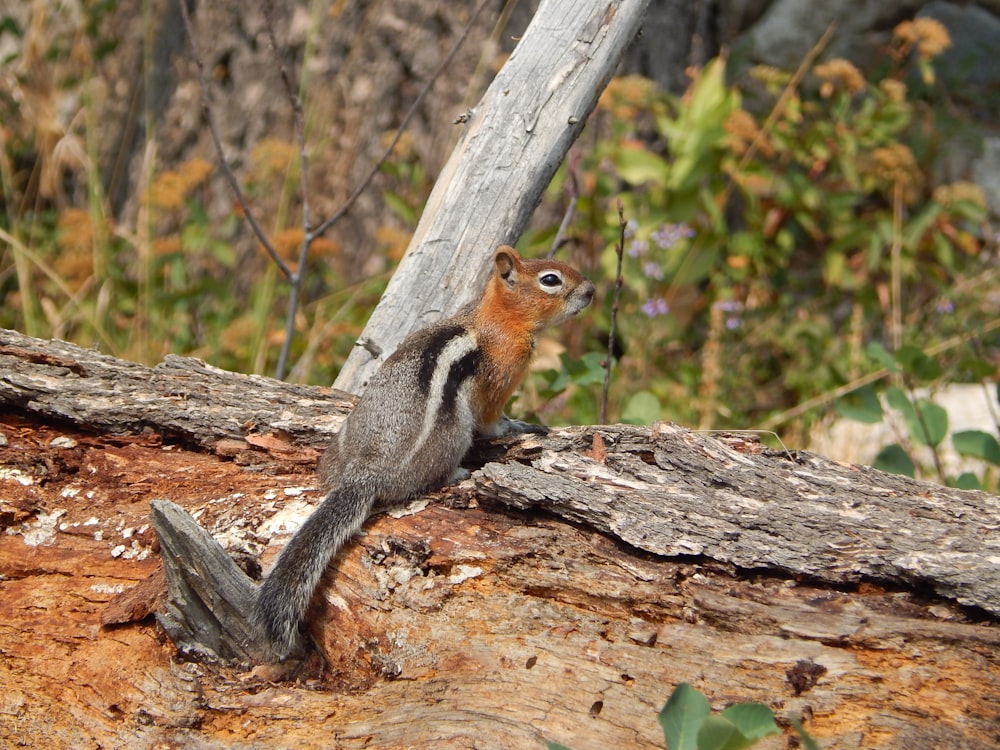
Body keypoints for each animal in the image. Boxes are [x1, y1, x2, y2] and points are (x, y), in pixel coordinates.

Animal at [254, 245, 592, 656]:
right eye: (550, 279)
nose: (591, 291)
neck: (496, 317)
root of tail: (363, 475)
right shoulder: (500, 379)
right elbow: (493, 419)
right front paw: (518, 426)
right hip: (454, 433)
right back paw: (459, 472)